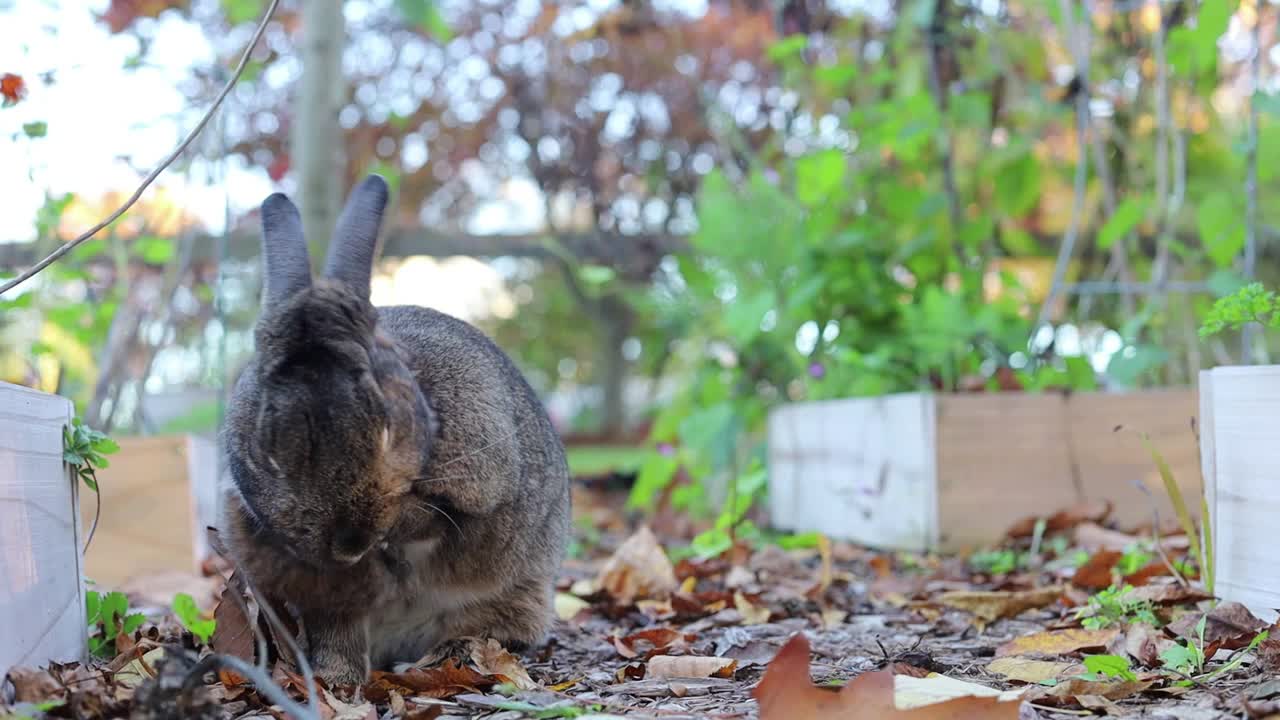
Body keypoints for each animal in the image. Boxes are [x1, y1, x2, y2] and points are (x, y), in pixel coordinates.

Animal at [218, 175, 570, 681]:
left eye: (388, 427)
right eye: (265, 452)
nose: (349, 544)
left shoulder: (480, 475)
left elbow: (436, 518)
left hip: (521, 596)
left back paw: (445, 656)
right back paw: (337, 678)